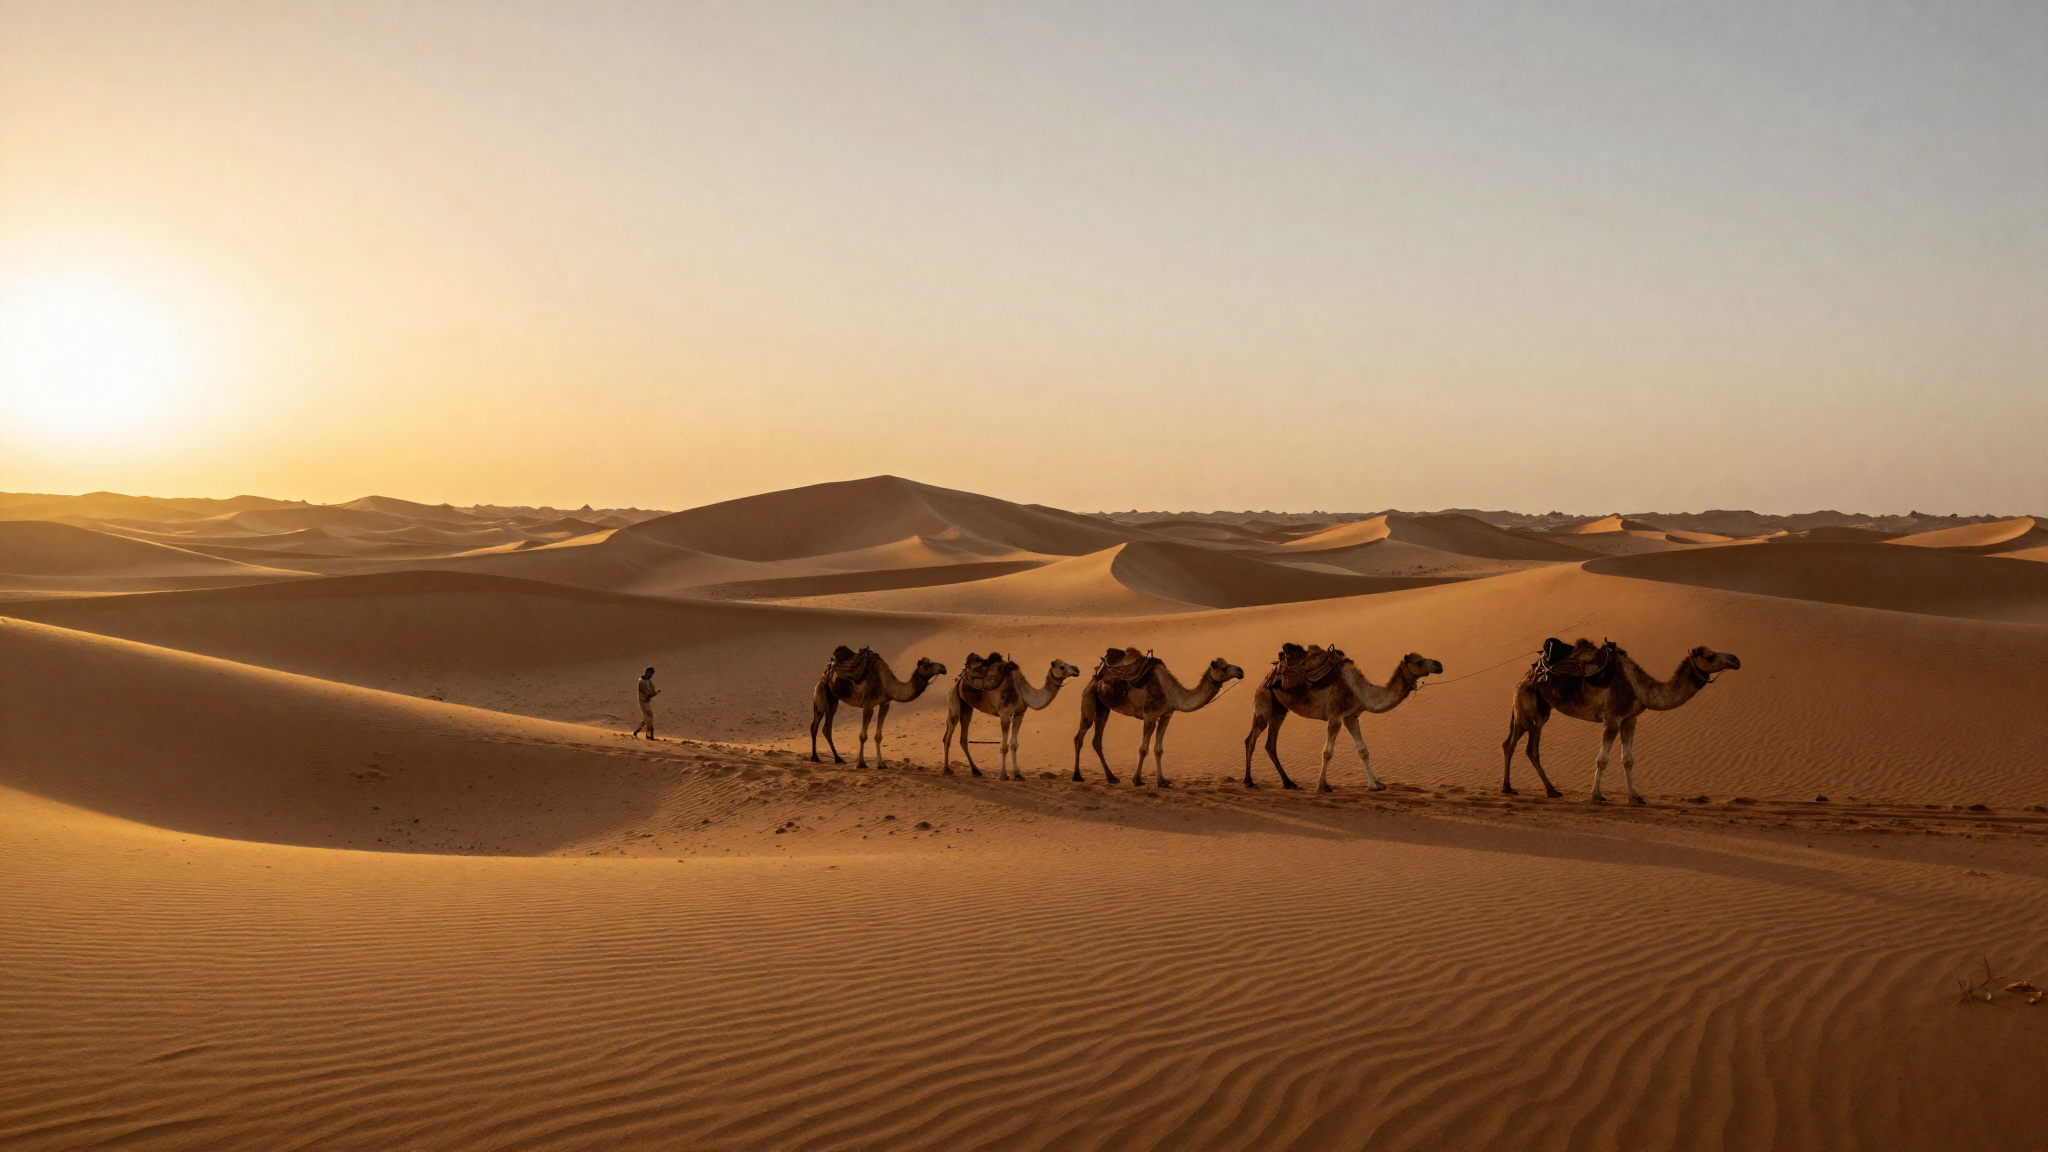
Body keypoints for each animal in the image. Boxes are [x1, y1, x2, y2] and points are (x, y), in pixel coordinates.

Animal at [809, 646, 946, 768]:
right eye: (927, 665)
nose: (943, 667)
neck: (887, 683)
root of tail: (826, 670)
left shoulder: (885, 704)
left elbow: (878, 736)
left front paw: (881, 764)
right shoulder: (868, 704)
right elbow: (863, 736)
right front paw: (861, 763)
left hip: (833, 699)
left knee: (827, 728)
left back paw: (838, 758)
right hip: (821, 691)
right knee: (815, 725)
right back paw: (815, 757)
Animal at [941, 653, 1082, 780]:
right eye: (1062, 667)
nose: (1077, 669)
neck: (1022, 692)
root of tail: (960, 679)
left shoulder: (1020, 714)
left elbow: (1014, 744)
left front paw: (1018, 775)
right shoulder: (1004, 714)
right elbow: (1004, 746)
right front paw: (1004, 776)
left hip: (966, 707)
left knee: (963, 737)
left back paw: (976, 771)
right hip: (954, 702)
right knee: (948, 737)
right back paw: (946, 770)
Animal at [1072, 648, 1244, 787]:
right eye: (1223, 668)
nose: (1240, 671)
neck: (1171, 694)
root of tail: (1098, 673)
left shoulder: (1166, 716)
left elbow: (1158, 749)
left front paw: (1161, 781)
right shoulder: (1150, 716)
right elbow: (1143, 749)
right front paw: (1137, 780)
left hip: (1103, 708)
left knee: (1096, 740)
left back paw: (1111, 777)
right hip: (1088, 697)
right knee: (1079, 737)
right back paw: (1077, 776)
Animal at [1242, 644, 1442, 792]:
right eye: (1419, 662)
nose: (1439, 665)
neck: (1360, 691)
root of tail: (1268, 676)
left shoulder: (1351, 716)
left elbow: (1363, 750)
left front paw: (1375, 785)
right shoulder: (1335, 716)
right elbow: (1327, 752)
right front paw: (1322, 786)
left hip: (1279, 710)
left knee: (1270, 744)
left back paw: (1288, 783)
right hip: (1263, 702)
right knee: (1251, 739)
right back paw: (1248, 781)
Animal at [1500, 638, 1742, 804]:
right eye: (1710, 656)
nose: (1736, 659)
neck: (1640, 689)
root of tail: (1526, 676)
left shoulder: (1630, 719)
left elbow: (1628, 760)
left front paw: (1635, 797)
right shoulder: (1612, 718)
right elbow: (1602, 760)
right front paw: (1596, 796)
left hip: (1533, 711)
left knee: (1513, 745)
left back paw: (1521, 789)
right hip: (1529, 711)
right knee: (1525, 747)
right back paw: (1538, 789)